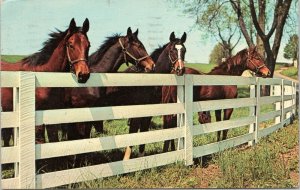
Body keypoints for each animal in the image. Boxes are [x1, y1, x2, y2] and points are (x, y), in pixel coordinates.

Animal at [103, 31, 188, 159]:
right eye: (172, 50)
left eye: (184, 50)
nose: (180, 69)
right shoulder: (137, 113)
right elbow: (133, 133)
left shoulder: (148, 114)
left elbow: (144, 133)